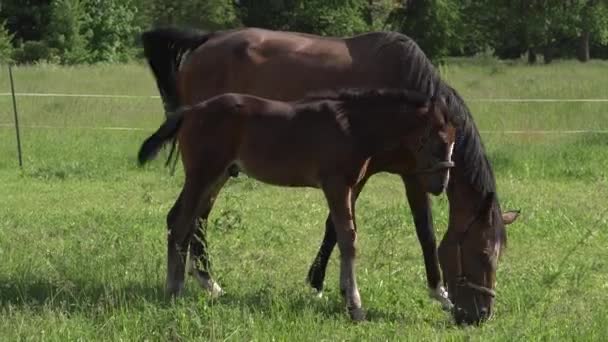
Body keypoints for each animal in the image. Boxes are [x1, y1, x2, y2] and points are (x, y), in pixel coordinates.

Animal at [137, 88, 452, 320]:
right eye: (439, 141)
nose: (440, 185)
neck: (352, 126)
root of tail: (191, 111)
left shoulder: (350, 187)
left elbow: (342, 234)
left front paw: (341, 294)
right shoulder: (336, 184)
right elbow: (348, 238)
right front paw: (355, 306)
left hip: (217, 176)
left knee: (185, 219)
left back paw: (208, 286)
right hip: (203, 174)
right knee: (181, 222)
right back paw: (174, 289)